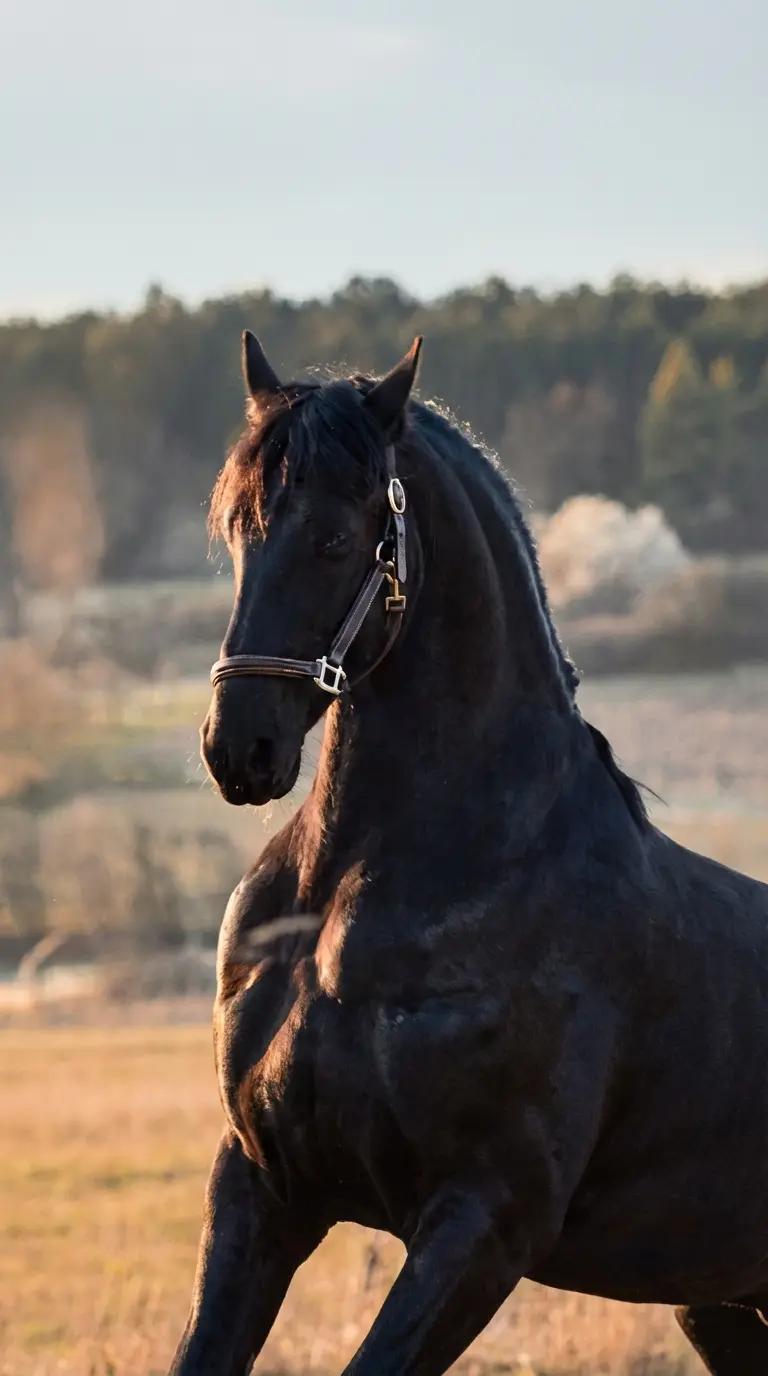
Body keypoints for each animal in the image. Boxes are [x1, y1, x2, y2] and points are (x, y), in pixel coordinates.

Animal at [171, 332, 768, 1376]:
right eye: (240, 530)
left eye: (336, 538)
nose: (238, 747)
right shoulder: (261, 1186)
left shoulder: (485, 1226)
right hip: (723, 1302)